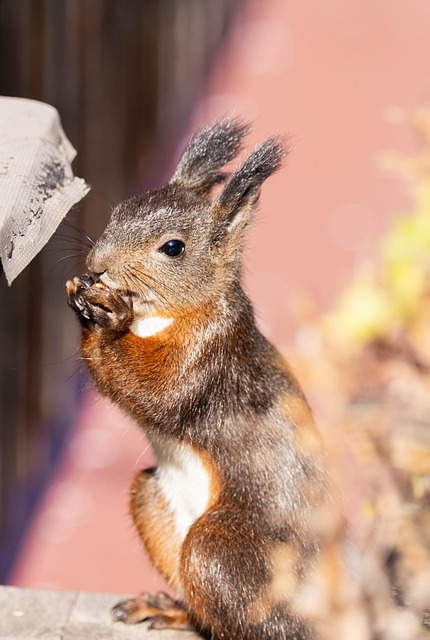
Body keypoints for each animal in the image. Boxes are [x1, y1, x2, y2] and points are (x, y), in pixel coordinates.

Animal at [66, 119, 343, 640]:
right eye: (119, 210)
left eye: (173, 248)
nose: (96, 265)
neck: (159, 316)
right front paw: (81, 295)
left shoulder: (212, 352)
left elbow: (158, 393)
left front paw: (106, 316)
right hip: (150, 500)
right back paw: (169, 610)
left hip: (221, 549)